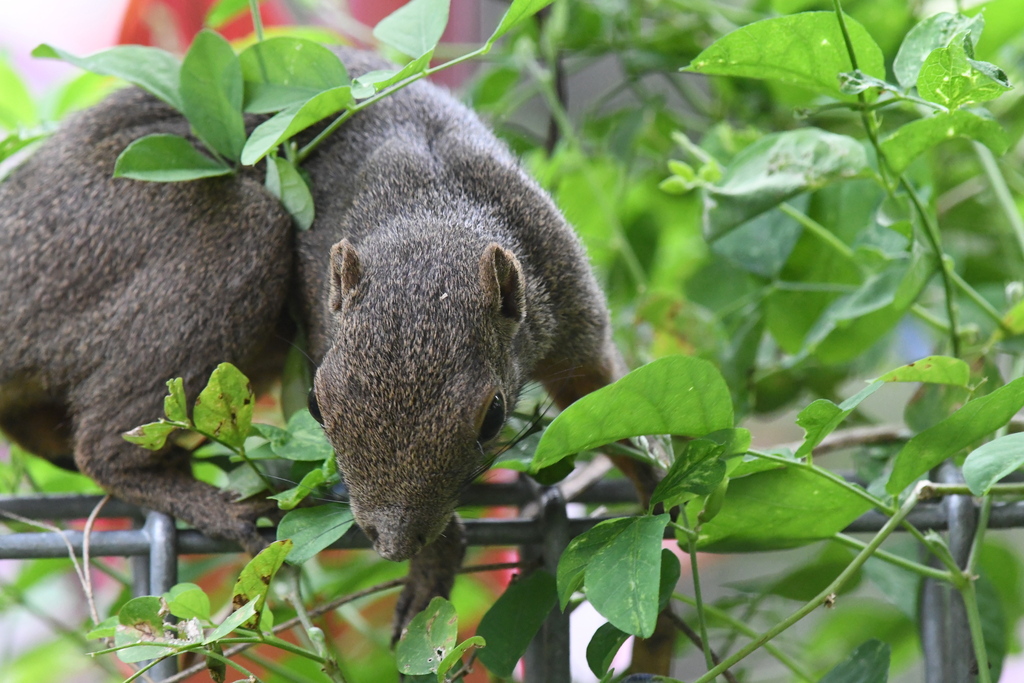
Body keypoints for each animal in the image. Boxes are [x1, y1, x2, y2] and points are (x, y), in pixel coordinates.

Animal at [0, 48, 651, 636]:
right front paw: (435, 560)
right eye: (316, 404)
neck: (429, 203)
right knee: (100, 448)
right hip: (218, 242)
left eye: (493, 417)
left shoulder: (568, 302)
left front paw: (659, 487)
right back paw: (221, 507)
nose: (393, 542)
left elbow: (603, 398)